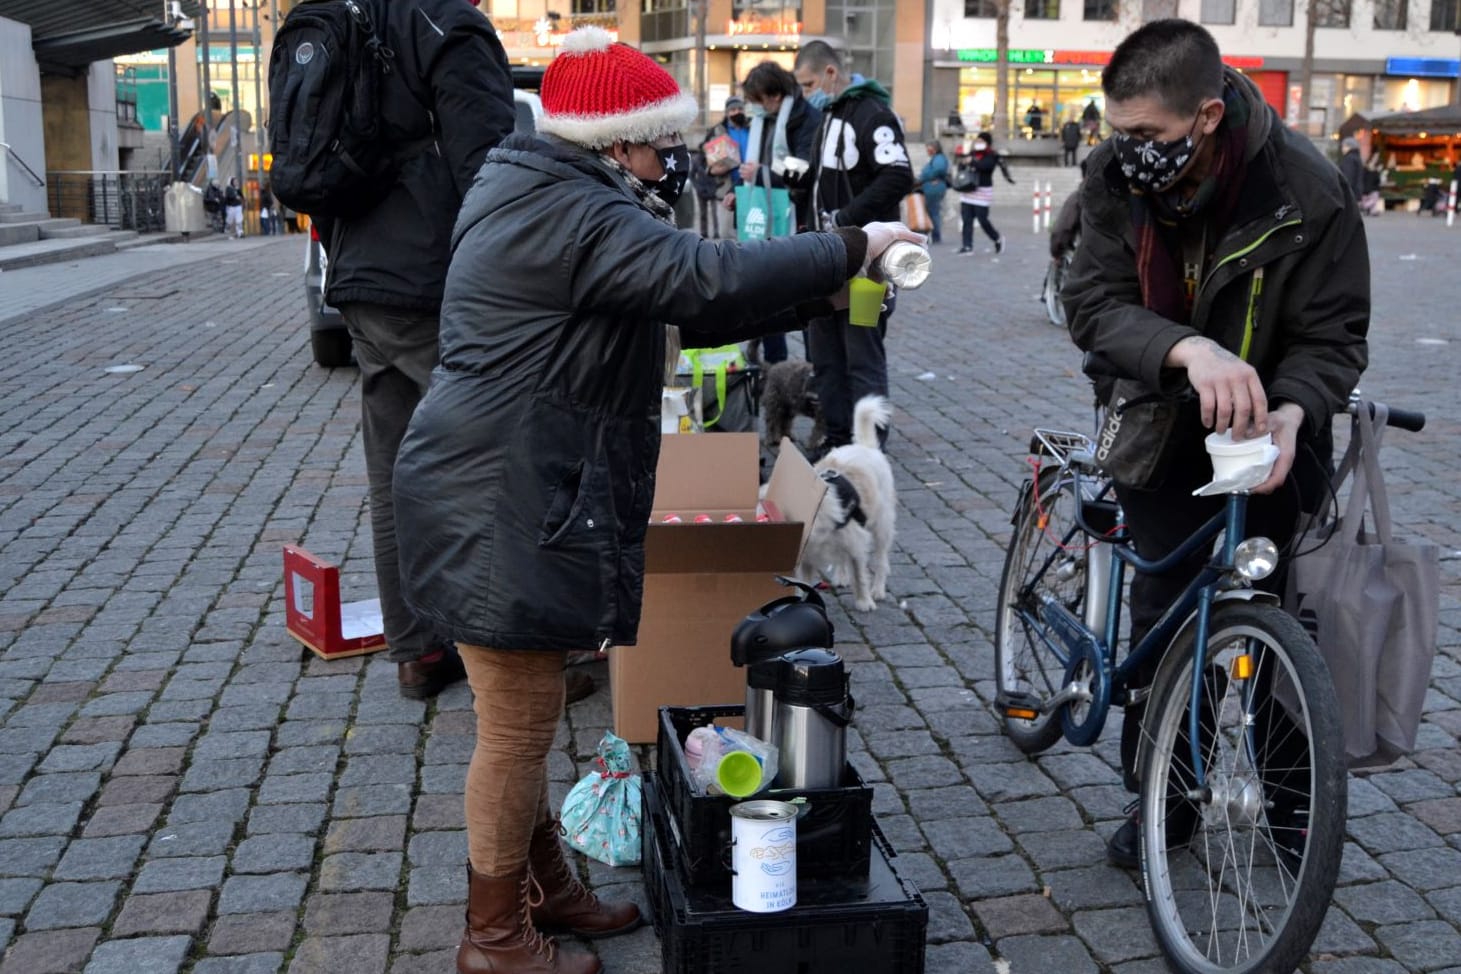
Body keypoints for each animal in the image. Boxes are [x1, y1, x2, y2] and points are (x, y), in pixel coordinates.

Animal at [794, 394, 894, 610]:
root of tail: (865, 447)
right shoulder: (807, 557)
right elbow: (803, 582)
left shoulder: (857, 543)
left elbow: (859, 575)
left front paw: (864, 601)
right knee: (842, 557)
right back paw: (841, 576)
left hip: (882, 526)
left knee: (881, 559)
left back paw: (878, 589)